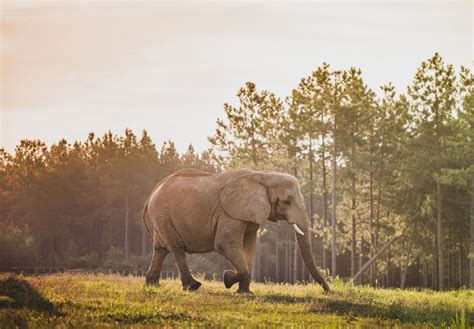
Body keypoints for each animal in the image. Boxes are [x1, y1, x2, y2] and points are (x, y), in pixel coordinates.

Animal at [141, 169, 330, 292]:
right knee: (176, 247)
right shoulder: (230, 213)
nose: (328, 291)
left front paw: (245, 292)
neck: (265, 176)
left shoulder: (250, 214)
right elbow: (225, 244)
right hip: (162, 212)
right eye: (287, 202)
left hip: (161, 216)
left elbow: (249, 246)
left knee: (160, 248)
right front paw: (228, 278)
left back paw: (152, 285)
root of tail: (153, 192)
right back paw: (193, 286)